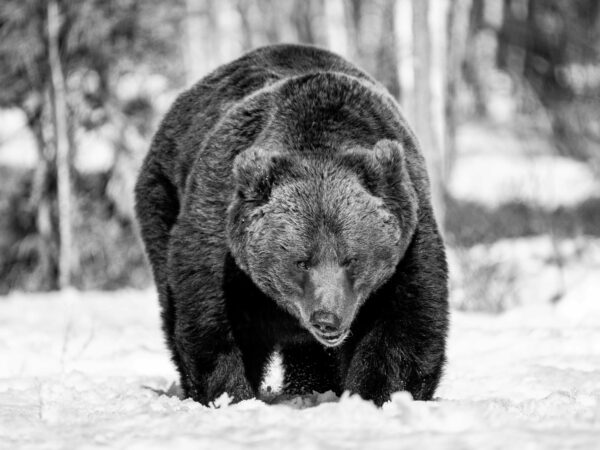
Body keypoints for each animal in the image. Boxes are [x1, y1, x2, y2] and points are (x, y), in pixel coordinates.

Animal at [134, 44, 448, 406]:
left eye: (351, 258)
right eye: (301, 261)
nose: (327, 319)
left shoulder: (407, 242)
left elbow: (403, 327)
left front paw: (375, 394)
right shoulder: (220, 236)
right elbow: (213, 322)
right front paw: (230, 393)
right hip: (163, 194)